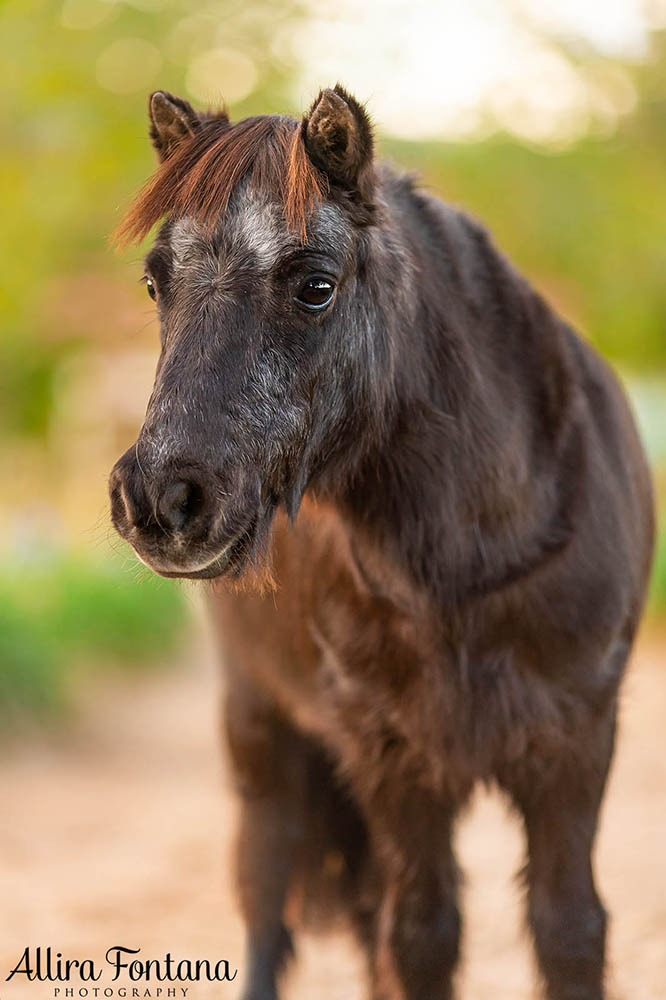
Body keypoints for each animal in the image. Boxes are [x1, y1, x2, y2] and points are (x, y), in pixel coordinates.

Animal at [110, 88, 652, 1000]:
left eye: (316, 287)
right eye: (156, 282)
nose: (160, 499)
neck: (471, 564)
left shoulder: (576, 747)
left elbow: (569, 929)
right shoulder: (395, 760)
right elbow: (423, 935)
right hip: (263, 743)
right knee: (270, 912)